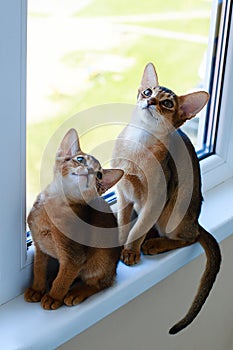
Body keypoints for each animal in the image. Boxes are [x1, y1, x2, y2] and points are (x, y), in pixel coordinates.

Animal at [24, 128, 124, 308]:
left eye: (99, 175)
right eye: (80, 159)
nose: (90, 171)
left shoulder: (74, 257)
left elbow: (63, 279)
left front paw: (53, 297)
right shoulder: (39, 246)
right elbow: (39, 269)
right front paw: (37, 288)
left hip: (100, 258)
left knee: (100, 284)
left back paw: (76, 293)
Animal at [110, 62, 220, 334]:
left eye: (167, 103)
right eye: (148, 92)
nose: (150, 101)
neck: (137, 146)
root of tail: (196, 222)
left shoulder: (157, 198)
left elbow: (138, 226)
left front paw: (131, 250)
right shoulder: (123, 193)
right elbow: (124, 222)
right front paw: (120, 241)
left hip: (173, 210)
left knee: (188, 238)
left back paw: (154, 244)